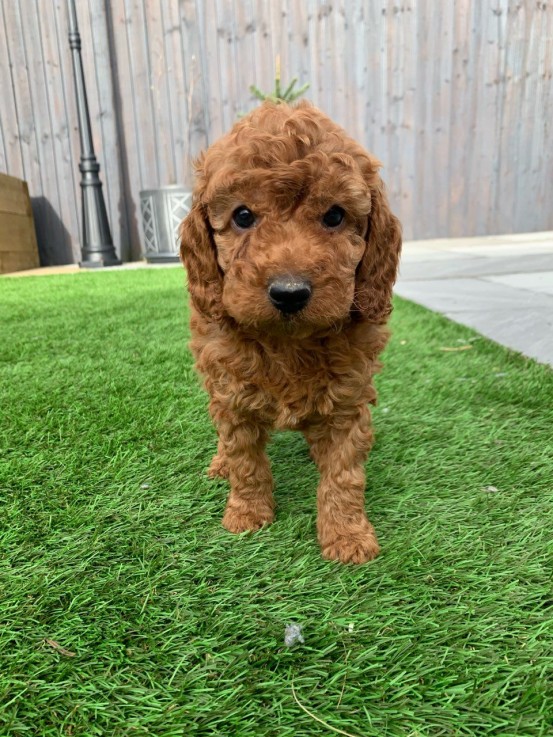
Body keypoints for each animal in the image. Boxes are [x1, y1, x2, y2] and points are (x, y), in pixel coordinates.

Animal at [181, 100, 402, 564]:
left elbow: (344, 474)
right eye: (242, 216)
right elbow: (246, 460)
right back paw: (220, 464)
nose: (289, 292)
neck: (287, 342)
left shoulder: (348, 402)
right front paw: (247, 515)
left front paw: (347, 535)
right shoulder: (232, 392)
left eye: (334, 215)